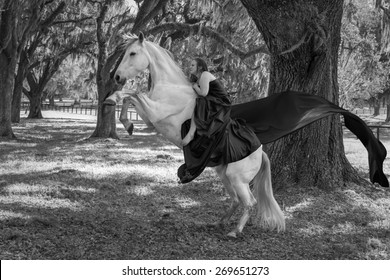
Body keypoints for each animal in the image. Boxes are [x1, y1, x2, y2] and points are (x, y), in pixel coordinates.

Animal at [106, 33, 284, 238]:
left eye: (133, 53)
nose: (117, 76)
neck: (171, 86)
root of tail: (260, 152)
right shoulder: (151, 119)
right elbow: (129, 97)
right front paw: (127, 124)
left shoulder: (155, 111)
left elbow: (133, 94)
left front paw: (112, 100)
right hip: (224, 175)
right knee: (235, 200)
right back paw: (218, 223)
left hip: (237, 178)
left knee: (249, 202)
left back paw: (235, 231)